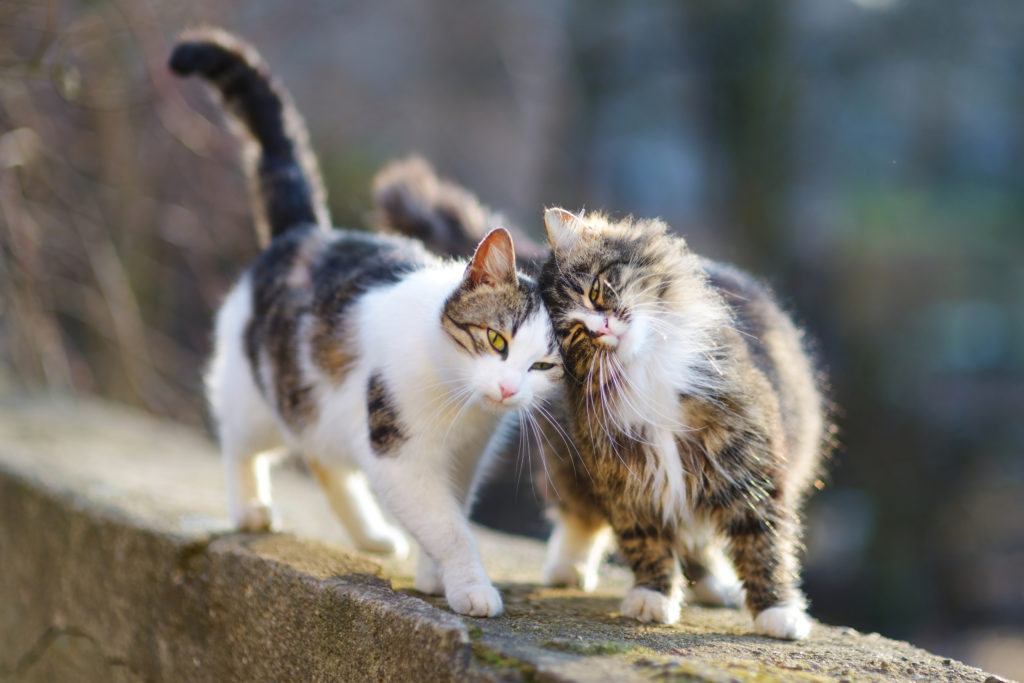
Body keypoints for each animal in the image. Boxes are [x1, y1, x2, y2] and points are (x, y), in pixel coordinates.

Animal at [172, 28, 565, 618]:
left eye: (543, 366)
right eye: (496, 339)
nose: (506, 388)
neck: (459, 404)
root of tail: (308, 231)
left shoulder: (463, 460)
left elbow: (449, 512)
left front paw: (434, 575)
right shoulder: (399, 455)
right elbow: (449, 527)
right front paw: (471, 587)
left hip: (324, 408)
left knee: (324, 459)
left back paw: (371, 534)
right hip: (258, 392)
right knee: (240, 441)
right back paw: (250, 508)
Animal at [536, 209, 831, 643]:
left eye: (595, 291)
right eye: (575, 334)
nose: (603, 328)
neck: (646, 371)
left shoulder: (746, 465)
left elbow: (763, 544)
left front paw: (778, 611)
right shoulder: (626, 478)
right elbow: (646, 542)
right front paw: (653, 597)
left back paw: (717, 586)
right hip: (566, 461)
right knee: (580, 517)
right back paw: (568, 568)